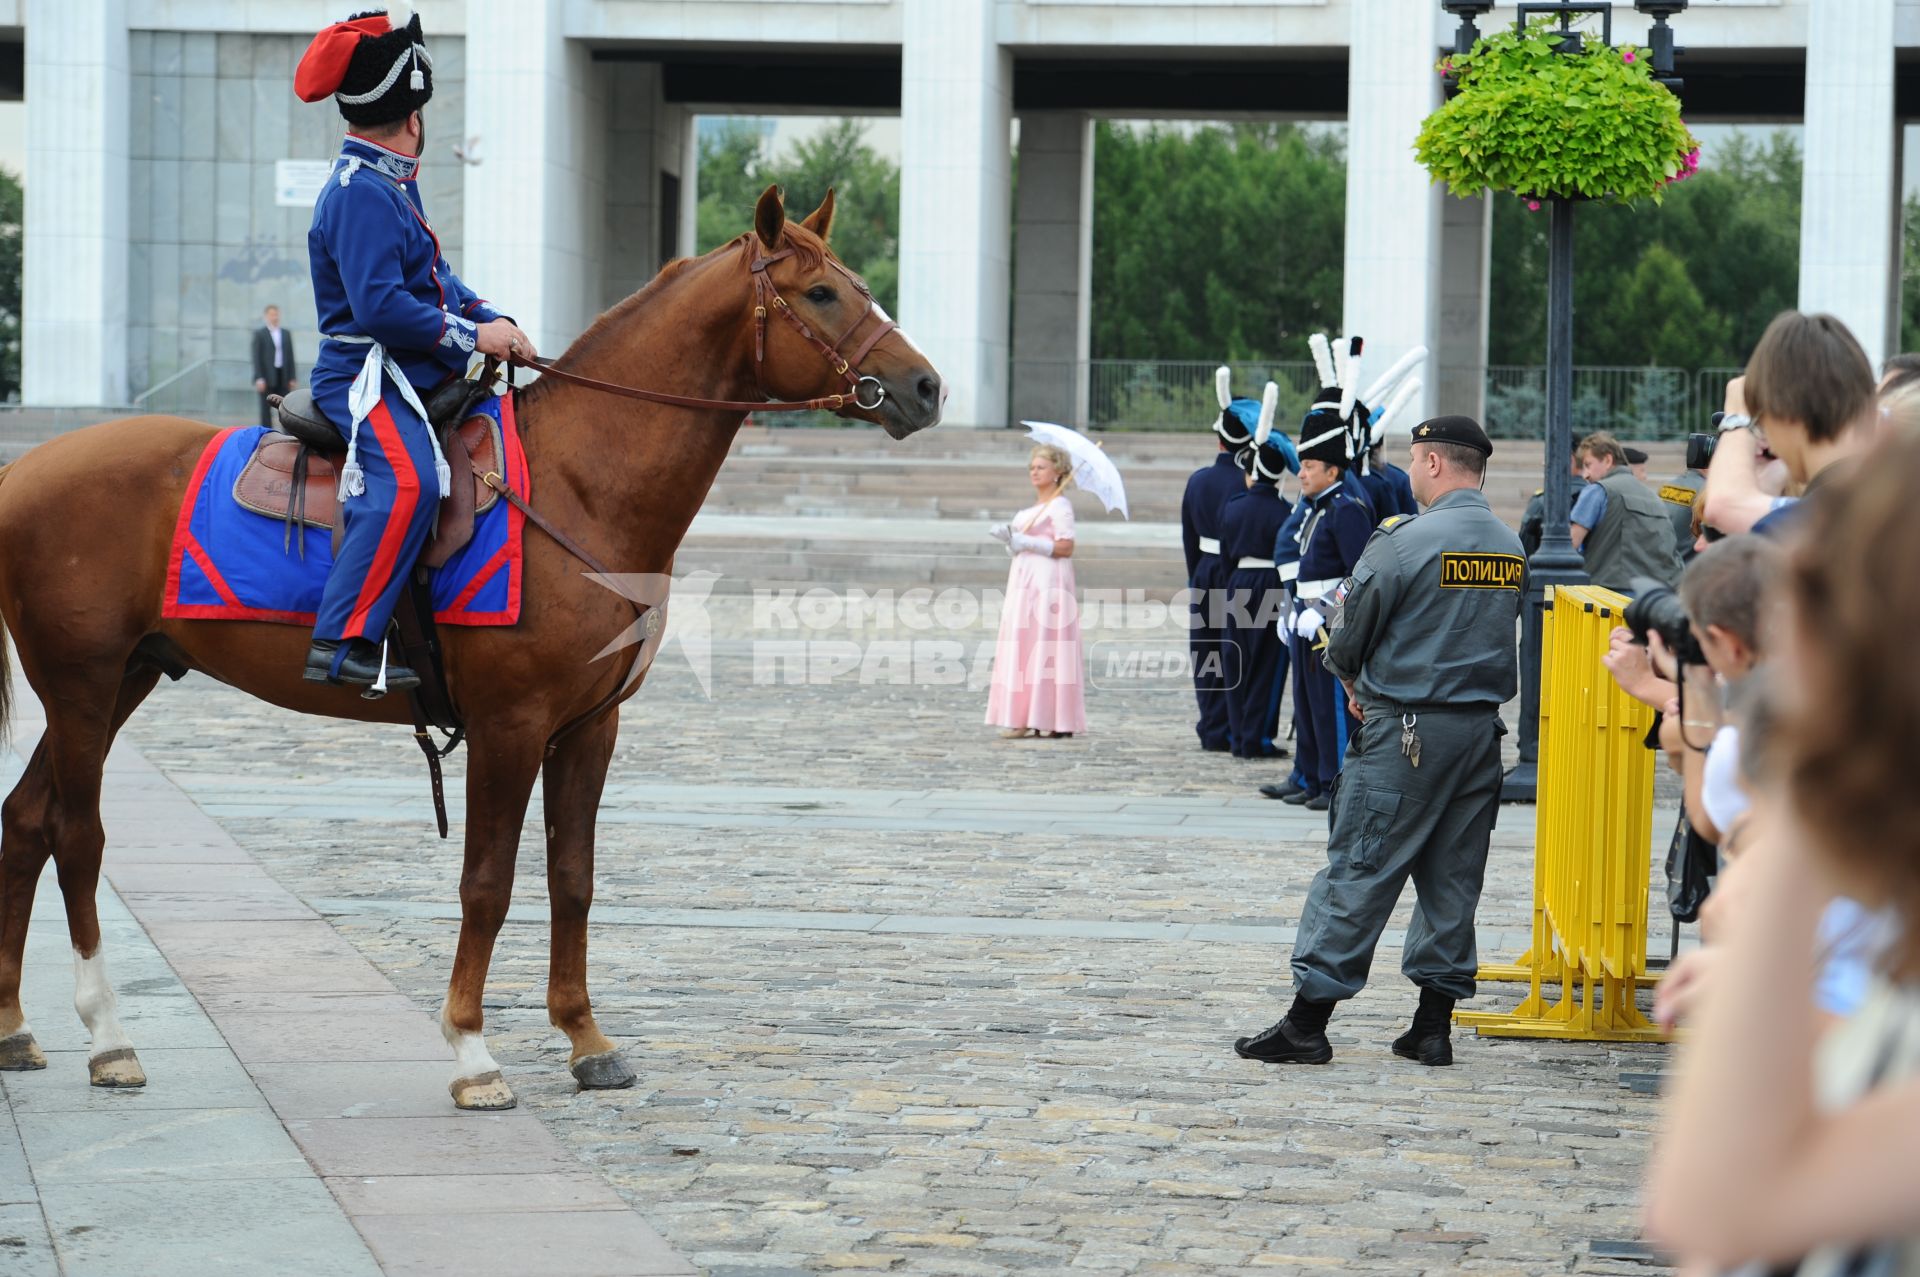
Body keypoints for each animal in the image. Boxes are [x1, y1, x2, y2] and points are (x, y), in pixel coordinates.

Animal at [0, 187, 936, 1106]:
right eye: (823, 292)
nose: (926, 387)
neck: (577, 482)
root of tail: (26, 467)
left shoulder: (588, 728)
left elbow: (573, 877)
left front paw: (585, 1037)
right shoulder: (509, 726)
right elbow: (488, 882)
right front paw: (472, 1048)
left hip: (123, 679)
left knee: (27, 819)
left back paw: (16, 1027)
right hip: (81, 685)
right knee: (77, 835)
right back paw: (108, 1036)